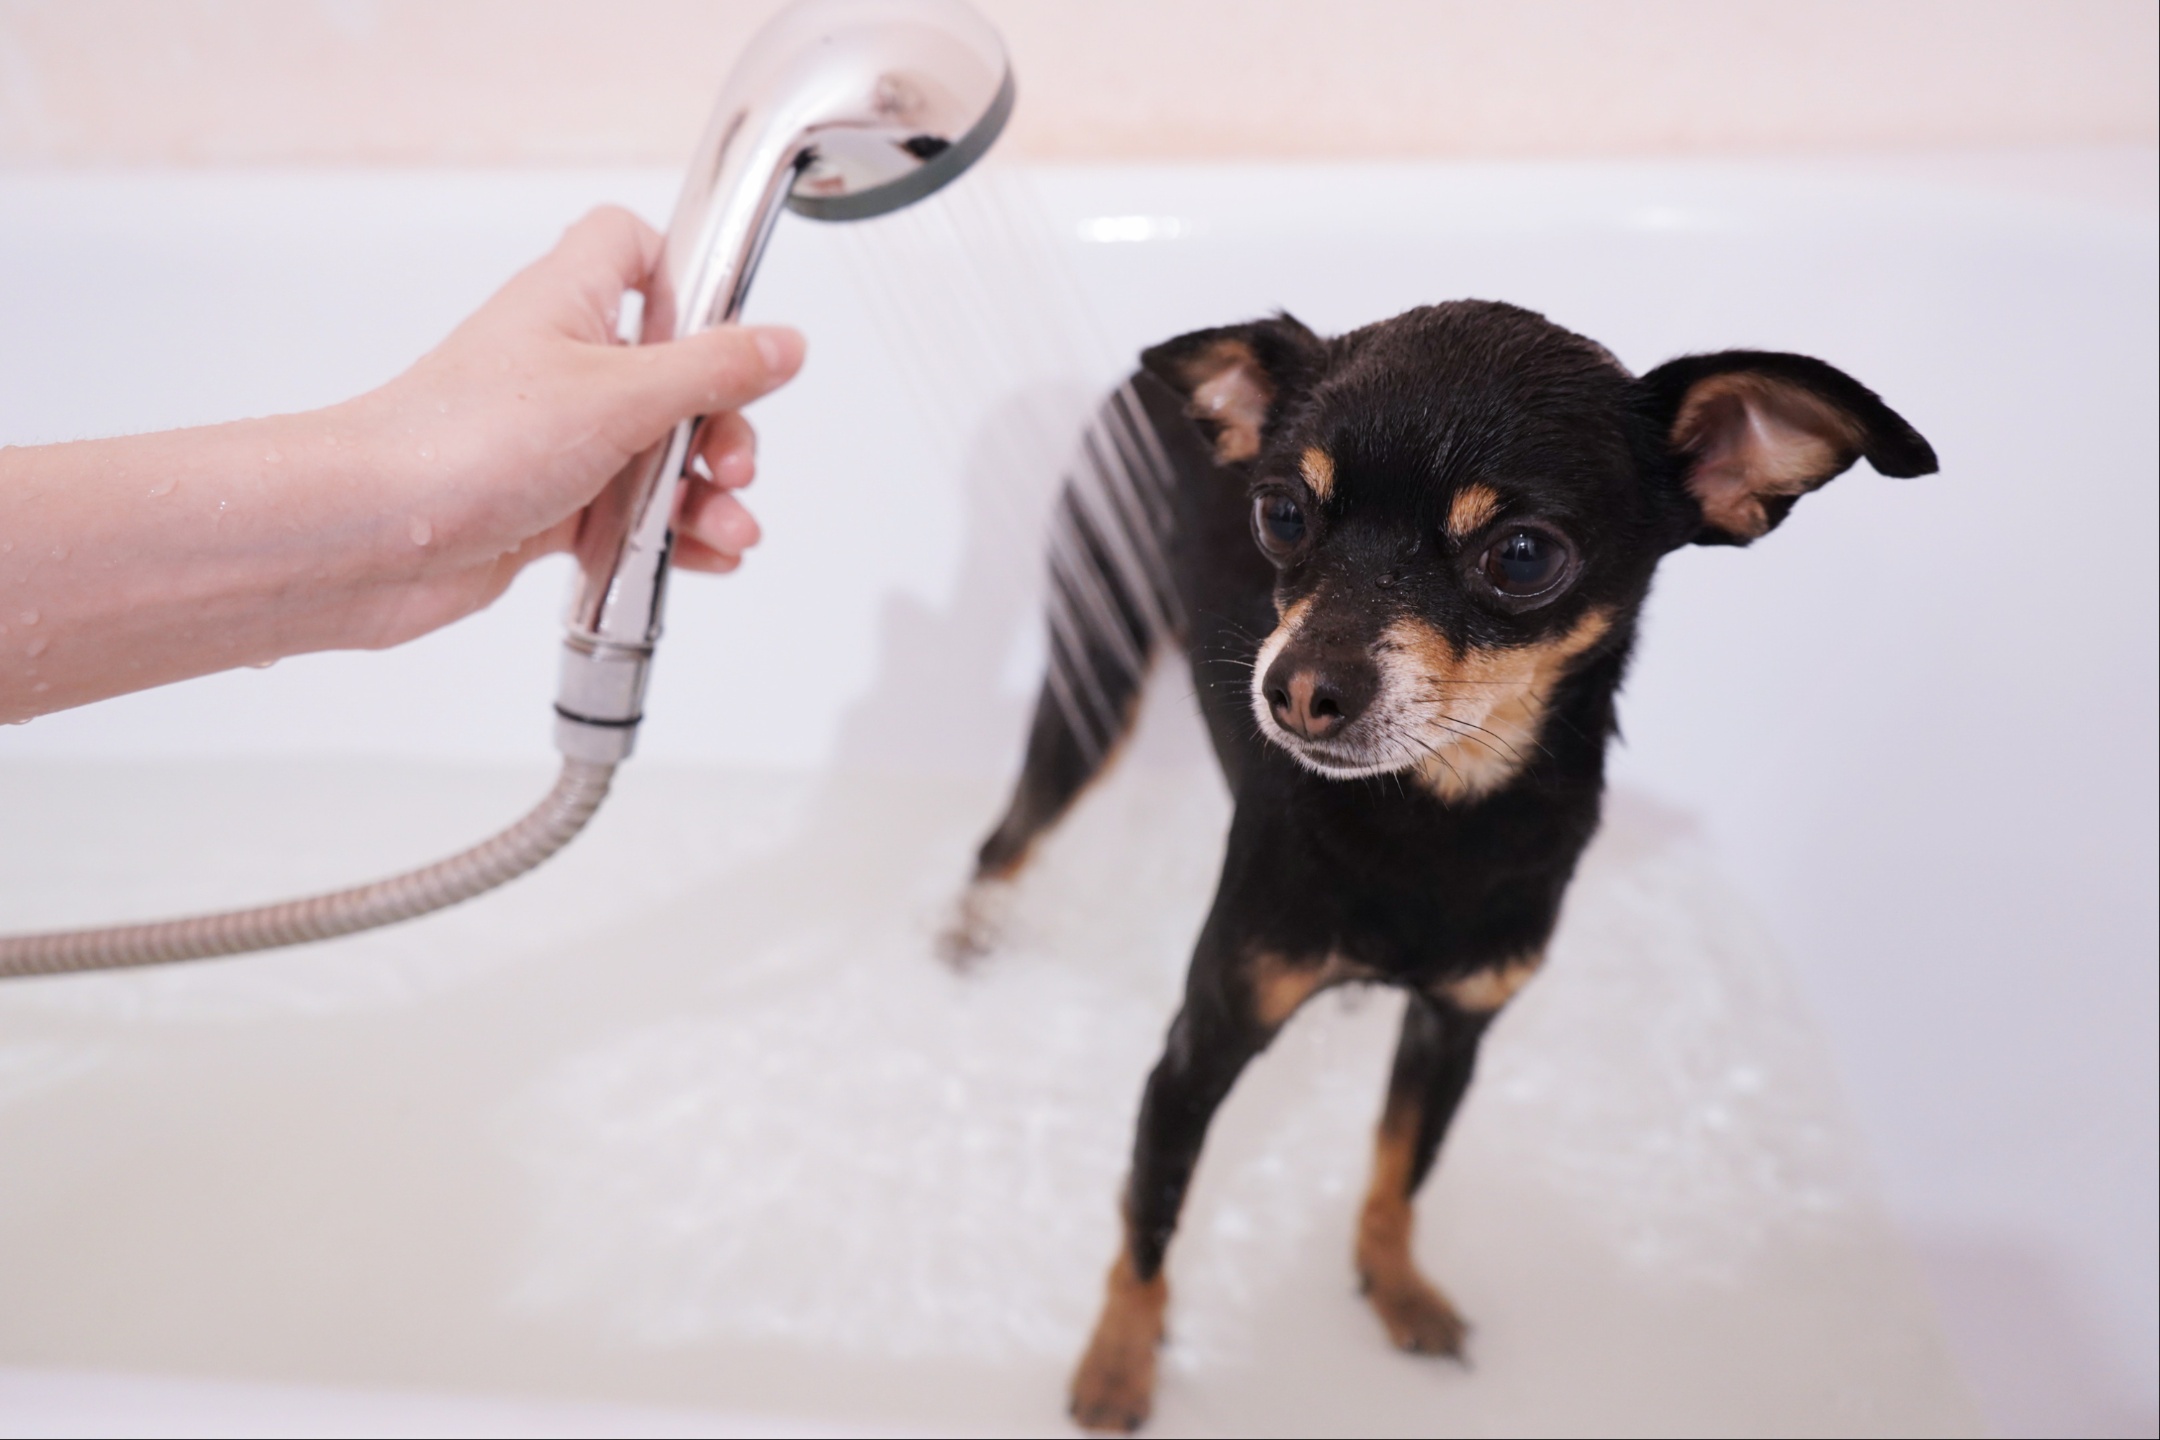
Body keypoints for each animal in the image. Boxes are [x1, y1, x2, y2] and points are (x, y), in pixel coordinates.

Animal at [946, 302, 1944, 1433]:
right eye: (1280, 516)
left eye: (1523, 555)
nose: (1300, 690)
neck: (1437, 819)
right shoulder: (1199, 1050)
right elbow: (1149, 1222)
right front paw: (1120, 1360)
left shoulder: (1455, 1030)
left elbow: (1397, 1176)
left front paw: (1397, 1290)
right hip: (1095, 667)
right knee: (1010, 834)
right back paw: (972, 935)